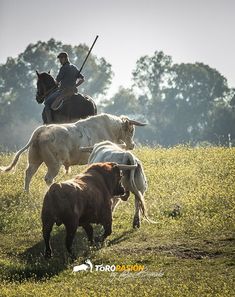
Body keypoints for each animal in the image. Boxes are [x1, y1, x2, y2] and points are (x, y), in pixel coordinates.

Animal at [0, 112, 146, 191]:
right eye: (131, 130)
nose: (132, 145)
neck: (109, 129)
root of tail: (43, 129)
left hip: (35, 159)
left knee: (29, 173)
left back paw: (27, 193)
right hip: (54, 164)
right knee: (48, 178)